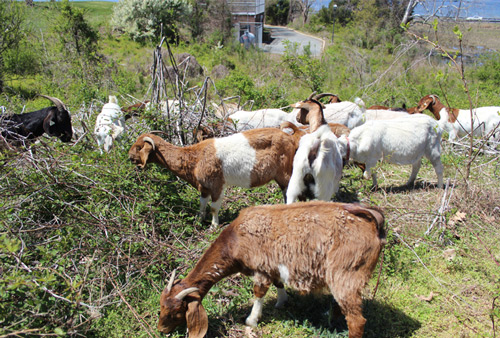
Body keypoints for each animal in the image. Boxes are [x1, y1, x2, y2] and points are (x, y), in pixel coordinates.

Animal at [127, 129, 302, 227]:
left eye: (139, 147)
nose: (129, 157)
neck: (195, 157)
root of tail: (292, 139)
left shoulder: (217, 185)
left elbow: (213, 207)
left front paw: (213, 226)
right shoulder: (204, 187)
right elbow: (202, 203)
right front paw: (199, 220)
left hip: (285, 173)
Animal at [158, 201, 384, 338]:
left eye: (177, 311)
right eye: (161, 306)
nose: (161, 329)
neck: (235, 240)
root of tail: (373, 222)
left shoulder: (261, 269)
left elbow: (258, 293)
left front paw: (251, 320)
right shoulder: (273, 266)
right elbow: (278, 283)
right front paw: (281, 302)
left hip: (347, 272)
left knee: (357, 320)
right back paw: (330, 316)